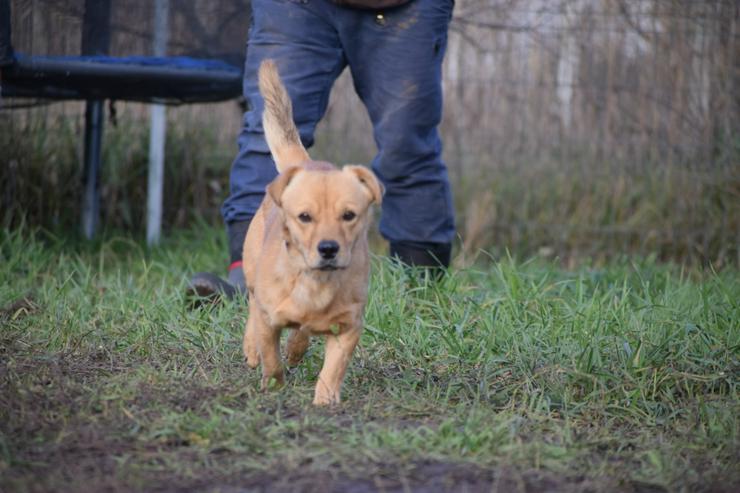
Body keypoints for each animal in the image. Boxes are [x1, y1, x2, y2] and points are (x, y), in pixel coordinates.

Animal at [241, 60, 382, 404]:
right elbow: (271, 356)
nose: (328, 248)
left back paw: (296, 348)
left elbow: (333, 369)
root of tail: (306, 163)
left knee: (301, 333)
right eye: (304, 217)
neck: (317, 285)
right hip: (251, 272)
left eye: (349, 215)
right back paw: (252, 349)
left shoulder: (349, 327)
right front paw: (274, 386)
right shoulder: (268, 317)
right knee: (251, 306)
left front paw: (325, 402)